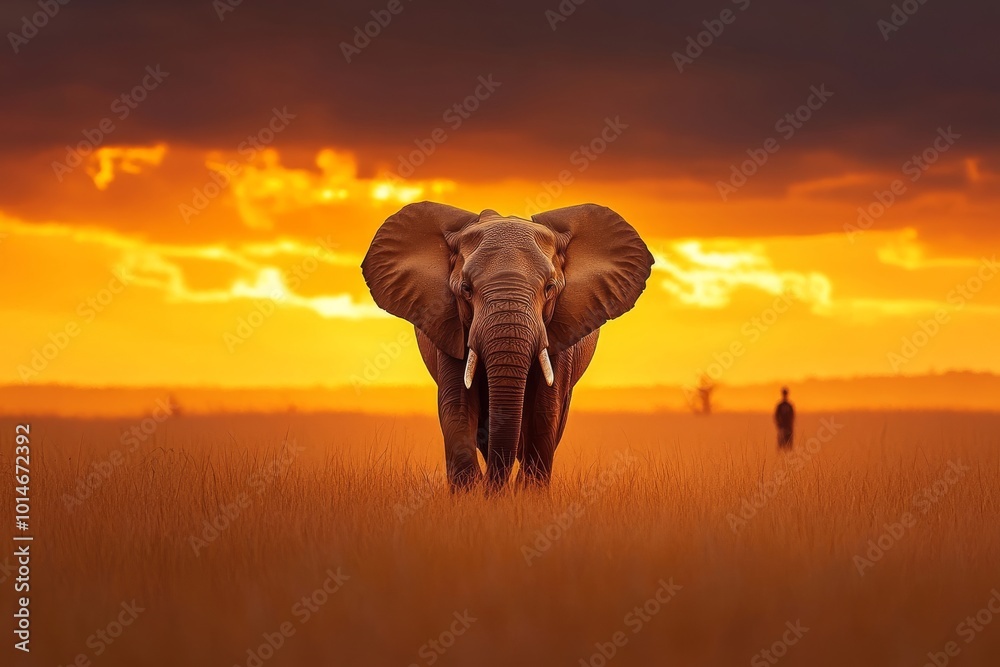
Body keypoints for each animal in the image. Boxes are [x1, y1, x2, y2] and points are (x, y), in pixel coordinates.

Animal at [361, 202, 654, 490]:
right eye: (466, 289)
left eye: (550, 288)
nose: (494, 489)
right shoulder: (447, 324)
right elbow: (457, 406)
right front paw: (471, 494)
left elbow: (544, 410)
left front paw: (527, 495)